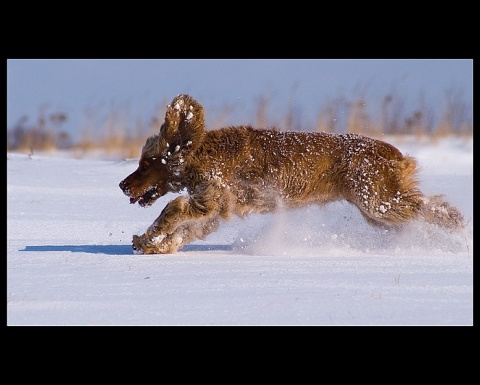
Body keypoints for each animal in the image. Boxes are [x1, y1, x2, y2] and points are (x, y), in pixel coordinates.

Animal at [118, 93, 464, 254]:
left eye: (145, 164)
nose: (122, 185)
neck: (199, 152)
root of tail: (395, 154)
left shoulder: (210, 200)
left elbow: (172, 210)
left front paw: (149, 238)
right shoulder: (214, 210)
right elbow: (185, 230)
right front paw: (153, 244)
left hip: (378, 202)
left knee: (433, 208)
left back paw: (460, 232)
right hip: (377, 211)